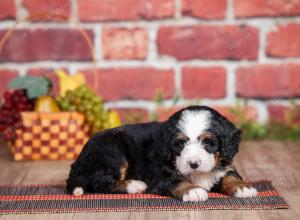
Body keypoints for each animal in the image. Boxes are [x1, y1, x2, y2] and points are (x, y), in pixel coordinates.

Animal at [67, 105, 256, 202]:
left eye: (209, 143)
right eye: (180, 144)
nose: (193, 164)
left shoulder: (226, 166)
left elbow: (230, 176)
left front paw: (242, 187)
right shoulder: (160, 176)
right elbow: (179, 181)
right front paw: (193, 190)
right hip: (113, 152)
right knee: (100, 181)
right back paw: (135, 185)